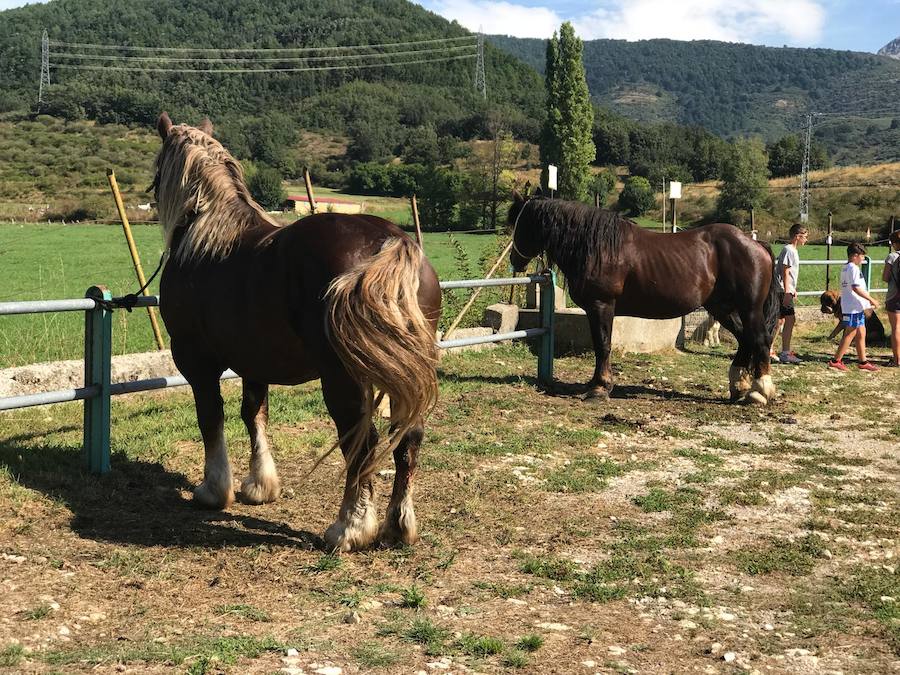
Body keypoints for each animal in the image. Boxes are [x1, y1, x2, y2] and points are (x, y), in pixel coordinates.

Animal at [153, 113, 442, 552]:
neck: (206, 236)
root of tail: (390, 240)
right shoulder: (253, 362)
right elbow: (253, 414)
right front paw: (260, 485)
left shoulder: (196, 361)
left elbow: (211, 418)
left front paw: (214, 490)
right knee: (407, 439)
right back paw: (397, 526)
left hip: (344, 379)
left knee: (362, 442)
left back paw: (349, 528)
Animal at [506, 195, 780, 406]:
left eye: (520, 224)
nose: (514, 261)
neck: (597, 247)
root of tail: (755, 243)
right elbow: (600, 345)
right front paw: (596, 384)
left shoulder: (601, 306)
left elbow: (603, 345)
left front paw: (599, 388)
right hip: (722, 308)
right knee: (745, 339)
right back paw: (738, 386)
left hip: (749, 308)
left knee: (760, 340)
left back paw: (760, 391)